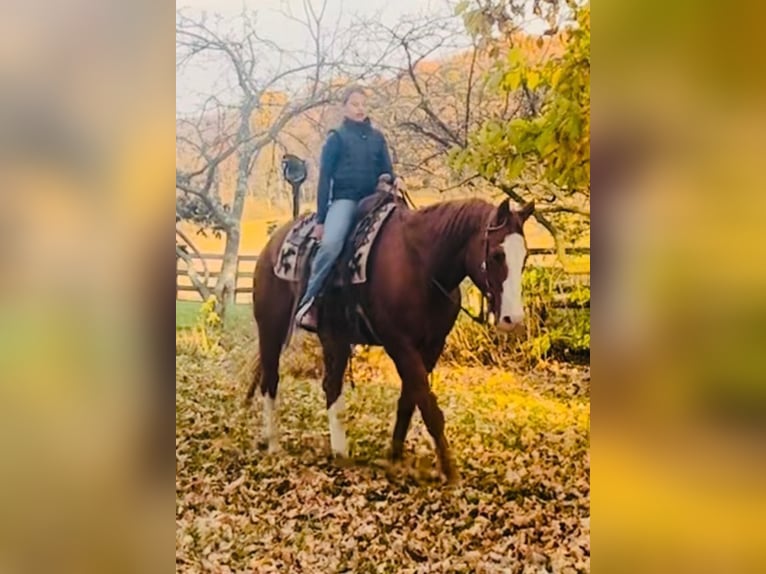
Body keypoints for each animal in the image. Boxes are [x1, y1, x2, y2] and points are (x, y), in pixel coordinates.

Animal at [247, 193, 534, 482]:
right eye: (497, 255)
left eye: (524, 256)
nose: (513, 319)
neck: (421, 264)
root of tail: (272, 245)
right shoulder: (400, 345)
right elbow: (427, 405)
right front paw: (449, 470)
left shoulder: (432, 347)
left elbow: (409, 399)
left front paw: (394, 457)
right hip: (272, 329)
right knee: (271, 379)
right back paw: (274, 443)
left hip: (335, 337)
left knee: (331, 385)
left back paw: (340, 453)